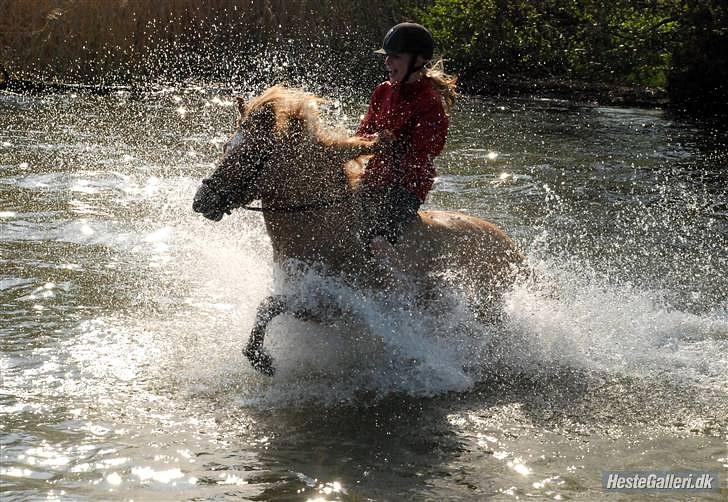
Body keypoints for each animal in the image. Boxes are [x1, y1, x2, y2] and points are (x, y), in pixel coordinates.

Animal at [193, 86, 524, 374]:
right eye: (226, 147)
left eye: (250, 155)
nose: (201, 200)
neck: (323, 225)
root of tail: (512, 247)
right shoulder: (314, 305)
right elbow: (267, 307)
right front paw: (259, 357)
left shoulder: (334, 303)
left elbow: (270, 305)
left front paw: (262, 360)